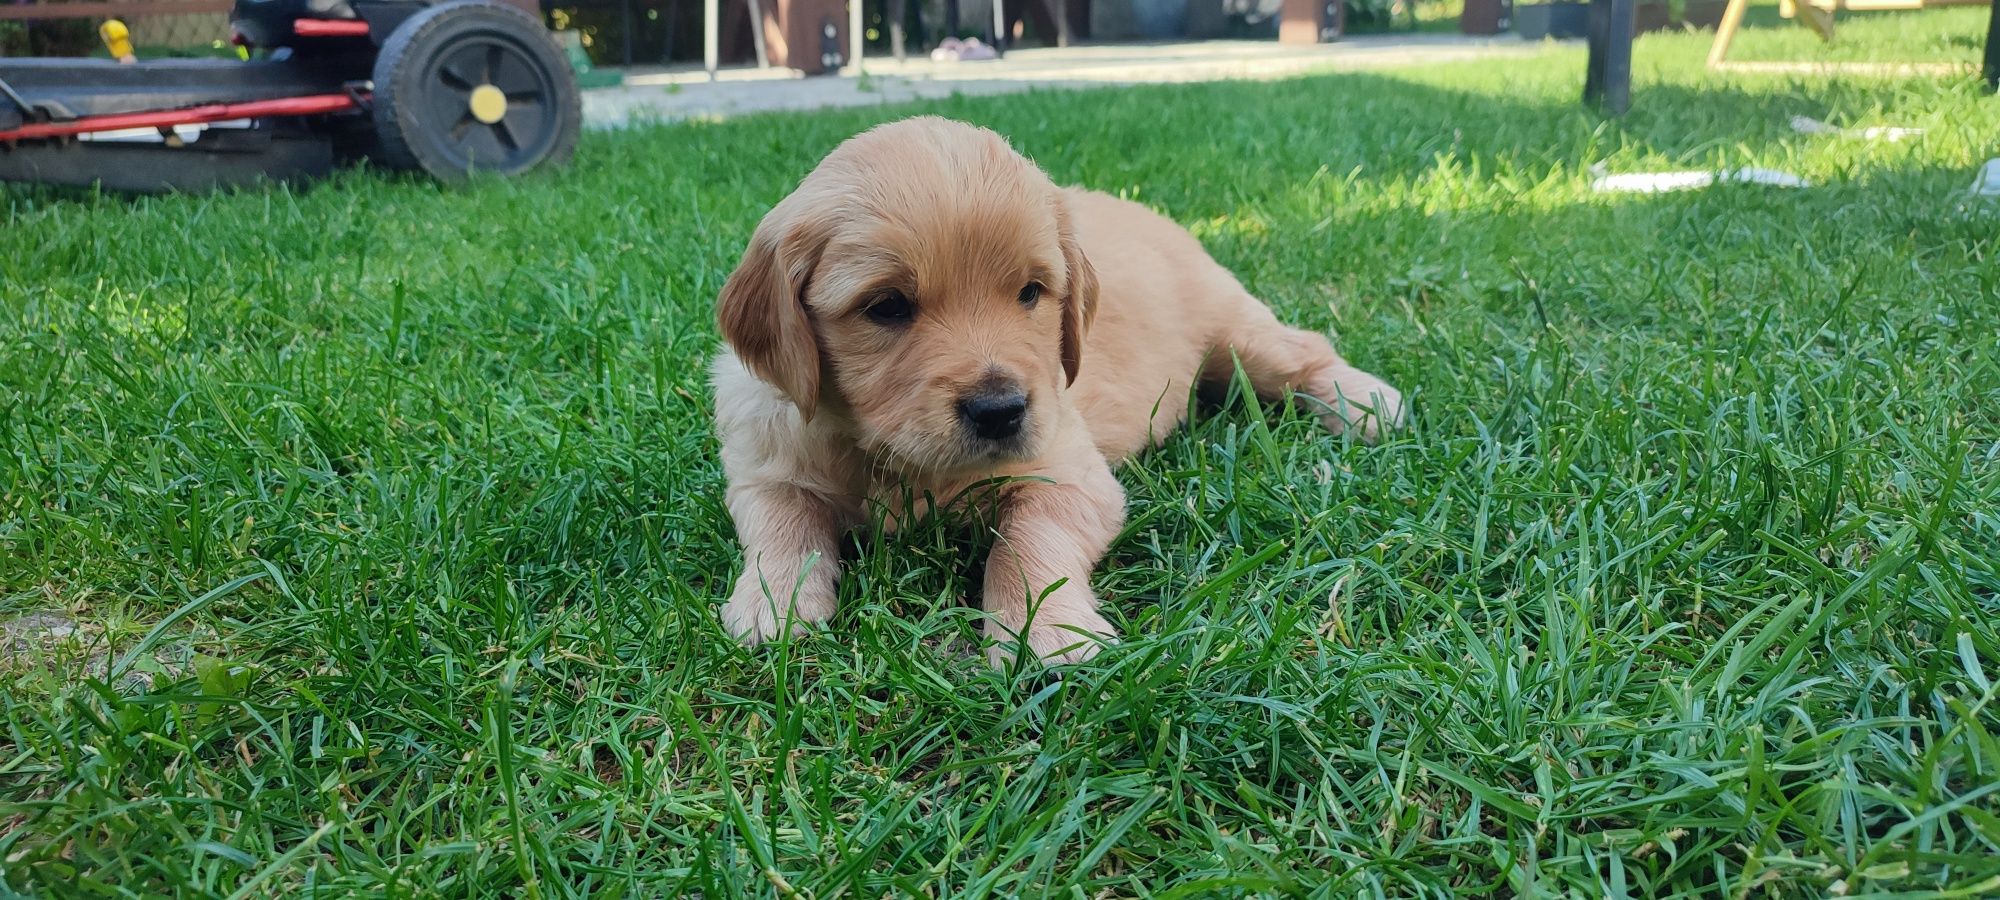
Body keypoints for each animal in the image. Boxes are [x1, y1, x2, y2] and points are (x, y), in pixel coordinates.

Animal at [712, 116, 1400, 664]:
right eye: (885, 306)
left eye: (1030, 292)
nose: (1000, 412)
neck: (892, 459)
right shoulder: (765, 465)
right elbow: (782, 528)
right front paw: (773, 605)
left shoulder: (1068, 471)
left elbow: (1027, 541)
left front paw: (1044, 634)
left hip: (1237, 335)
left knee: (1304, 350)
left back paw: (1368, 405)